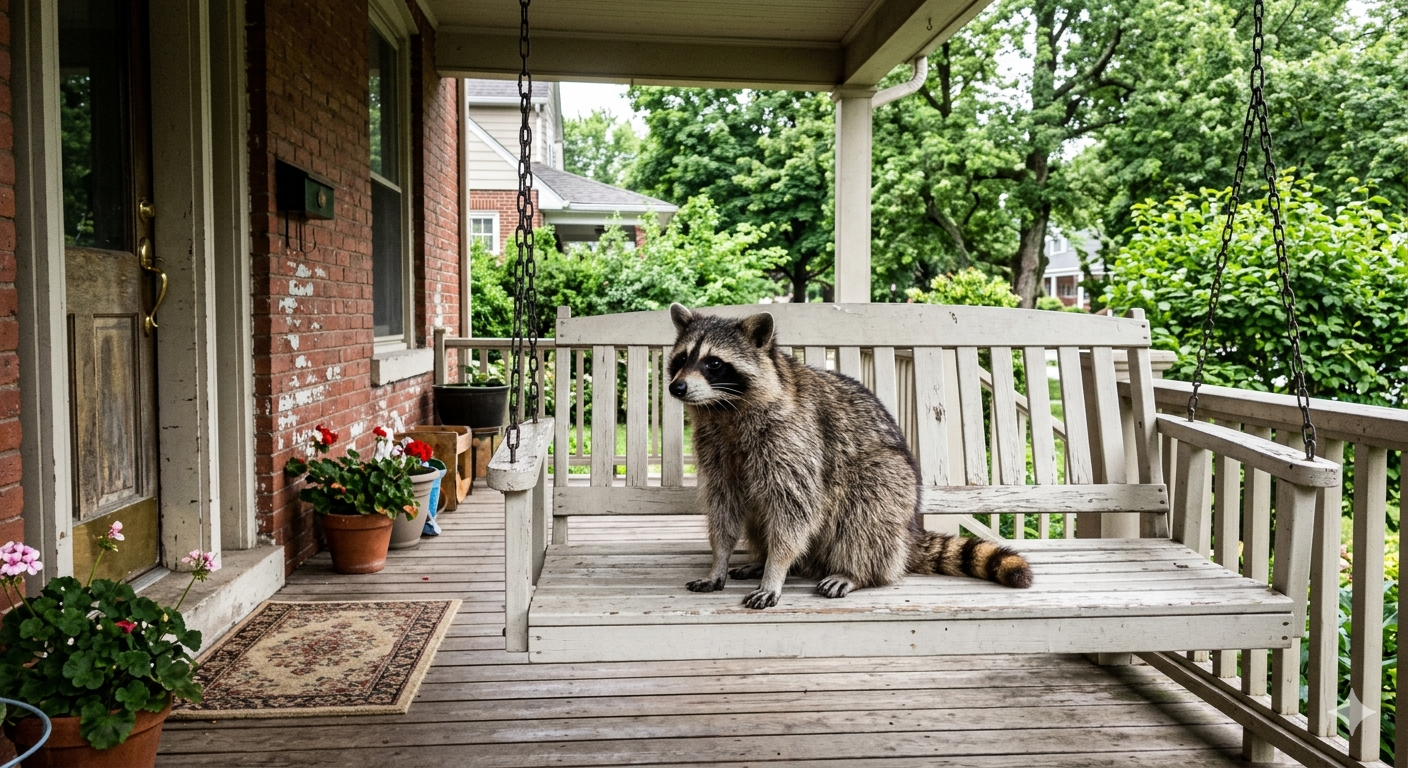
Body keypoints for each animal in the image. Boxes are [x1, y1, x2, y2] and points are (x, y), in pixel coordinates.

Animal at [667, 303, 1032, 609]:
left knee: (866, 510)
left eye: (714, 363)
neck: (723, 410)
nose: (676, 387)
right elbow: (723, 506)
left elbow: (795, 511)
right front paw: (720, 561)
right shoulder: (715, 448)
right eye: (681, 359)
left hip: (891, 481)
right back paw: (764, 558)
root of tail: (908, 532)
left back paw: (855, 572)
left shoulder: (795, 442)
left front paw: (776, 568)